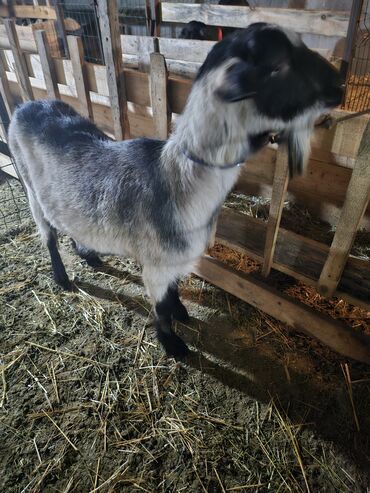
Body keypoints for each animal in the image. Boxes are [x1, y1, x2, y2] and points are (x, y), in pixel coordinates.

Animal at [8, 23, 342, 358]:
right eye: (278, 66)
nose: (339, 84)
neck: (180, 177)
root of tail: (26, 106)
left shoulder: (174, 260)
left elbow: (174, 290)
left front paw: (181, 311)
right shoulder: (156, 263)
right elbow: (160, 307)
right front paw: (172, 343)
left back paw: (88, 254)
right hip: (30, 190)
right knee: (48, 236)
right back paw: (62, 277)